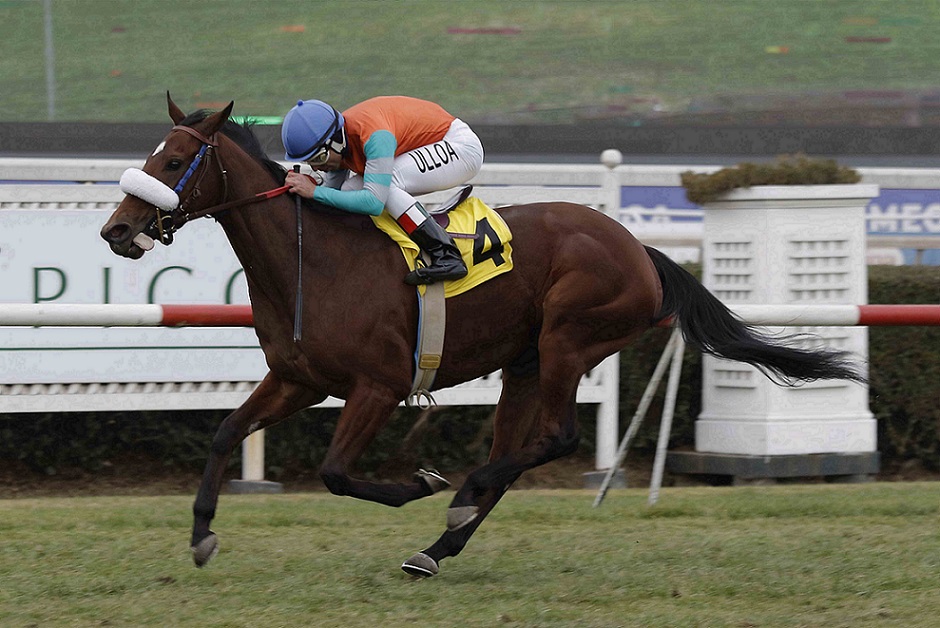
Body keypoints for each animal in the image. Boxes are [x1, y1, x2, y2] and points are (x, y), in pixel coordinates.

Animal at [100, 95, 863, 578]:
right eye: (153, 155)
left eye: (175, 163)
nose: (116, 228)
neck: (311, 261)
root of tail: (640, 251)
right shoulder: (298, 379)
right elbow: (226, 432)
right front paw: (201, 535)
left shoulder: (378, 387)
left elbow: (337, 472)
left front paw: (421, 481)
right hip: (523, 364)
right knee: (514, 455)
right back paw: (438, 547)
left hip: (568, 341)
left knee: (554, 439)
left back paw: (460, 494)